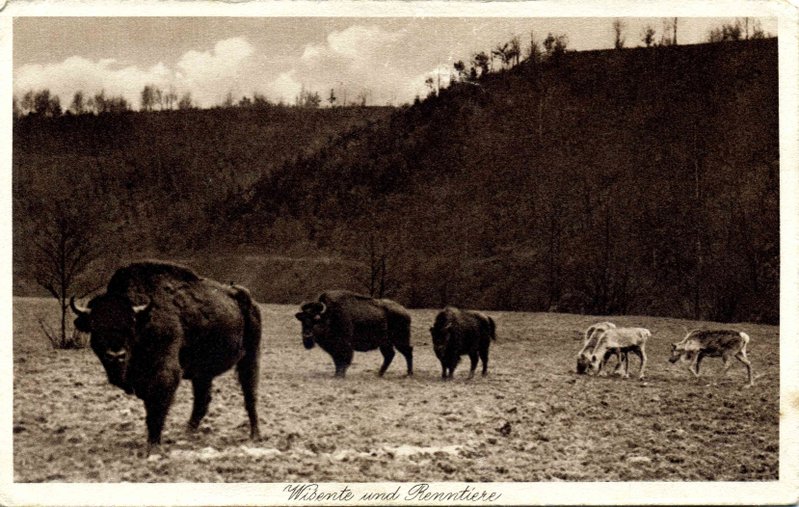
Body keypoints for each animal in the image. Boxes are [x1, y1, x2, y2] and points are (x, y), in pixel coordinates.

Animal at [69, 264, 262, 454]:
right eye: (95, 327)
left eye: (130, 326)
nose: (116, 356)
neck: (144, 320)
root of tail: (245, 298)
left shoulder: (165, 374)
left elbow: (156, 409)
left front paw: (154, 446)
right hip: (202, 372)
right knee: (202, 399)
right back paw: (188, 431)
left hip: (250, 357)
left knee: (249, 395)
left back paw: (255, 435)